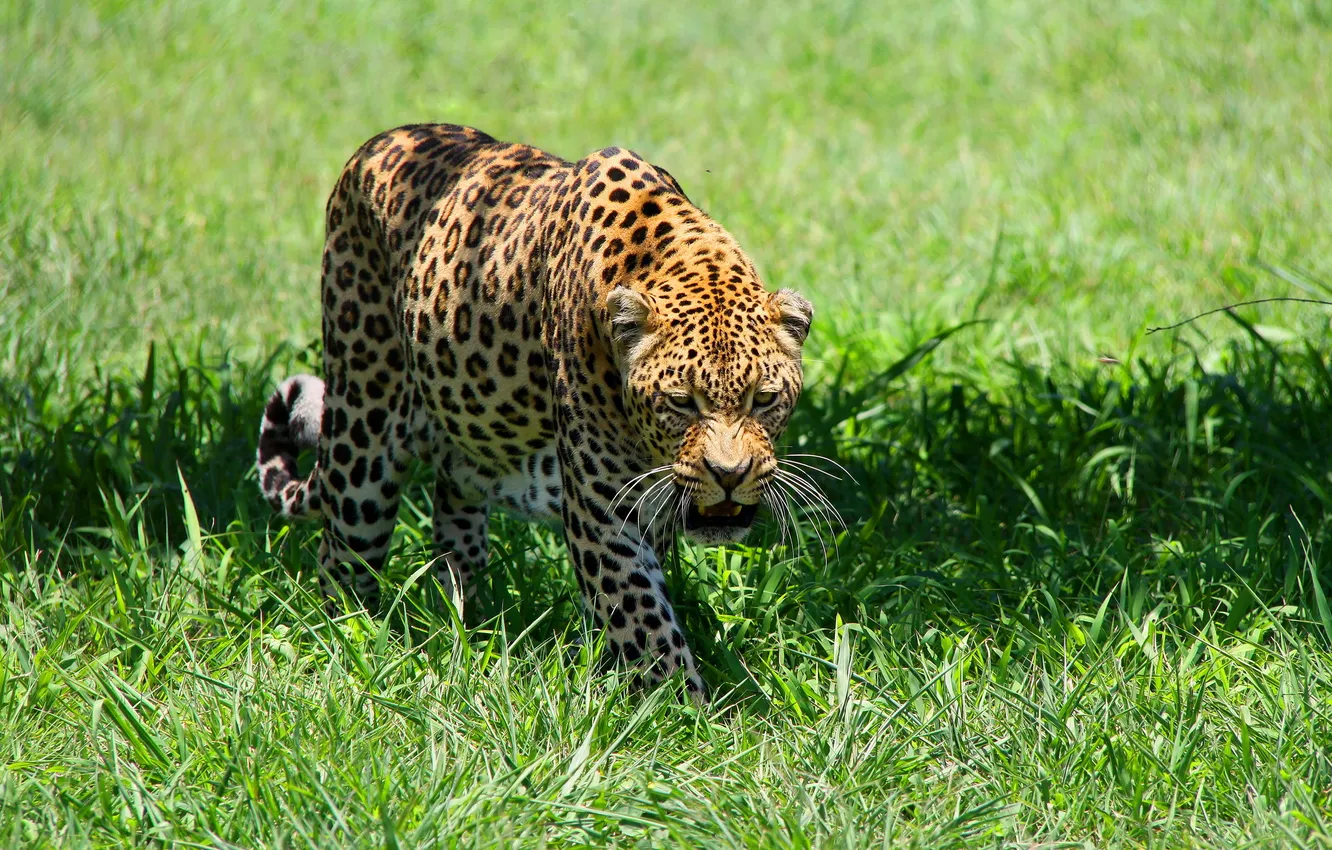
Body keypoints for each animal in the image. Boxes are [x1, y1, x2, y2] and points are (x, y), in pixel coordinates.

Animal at [256, 123, 814, 699]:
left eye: (764, 399)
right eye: (681, 402)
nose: (729, 475)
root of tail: (378, 143)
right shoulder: (604, 510)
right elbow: (644, 623)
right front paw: (685, 709)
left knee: (455, 529)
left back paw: (465, 627)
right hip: (362, 440)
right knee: (341, 560)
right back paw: (351, 647)